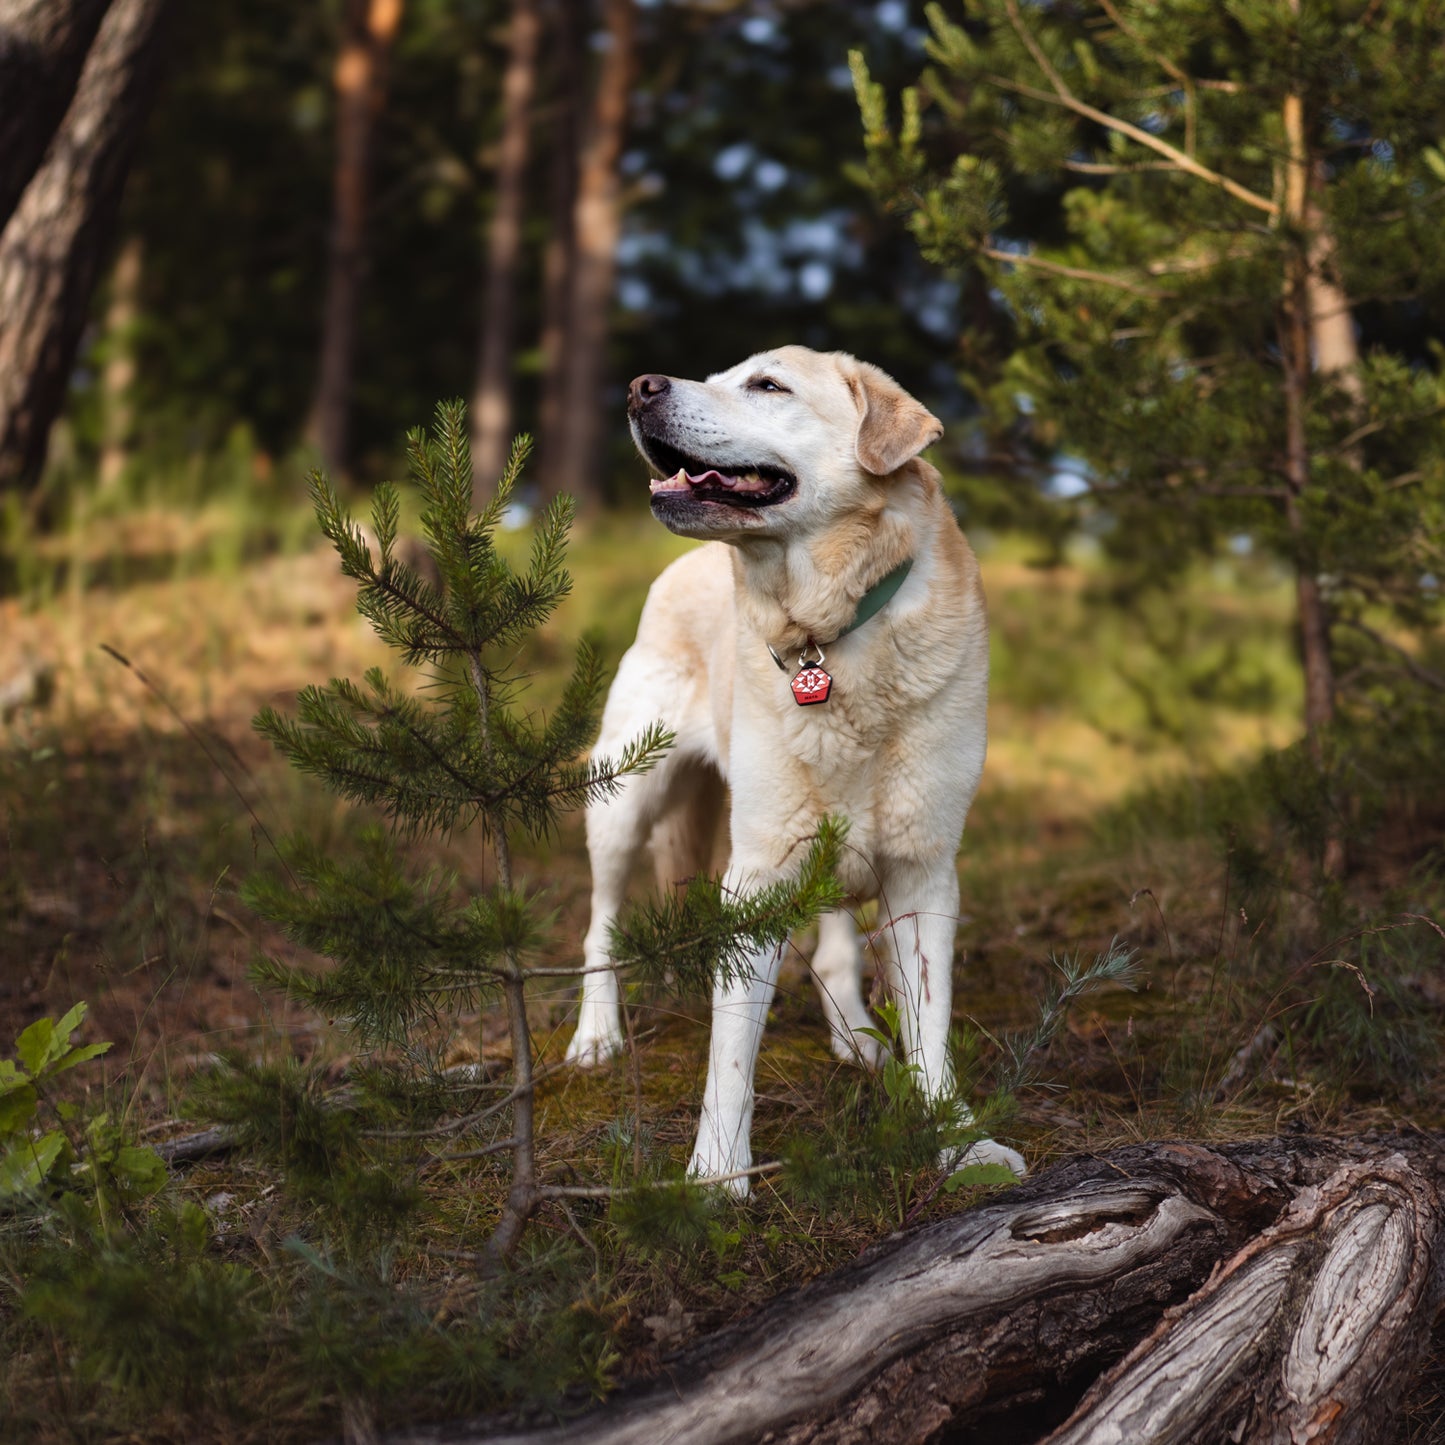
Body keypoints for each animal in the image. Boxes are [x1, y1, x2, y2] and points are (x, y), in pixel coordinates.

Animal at [563, 343, 1028, 1190]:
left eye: (766, 385)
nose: (640, 386)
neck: (827, 633)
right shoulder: (756, 873)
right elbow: (730, 1052)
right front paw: (717, 1175)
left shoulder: (922, 869)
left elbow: (931, 1025)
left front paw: (958, 1142)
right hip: (621, 798)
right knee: (599, 924)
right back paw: (595, 1037)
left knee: (835, 941)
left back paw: (853, 1037)